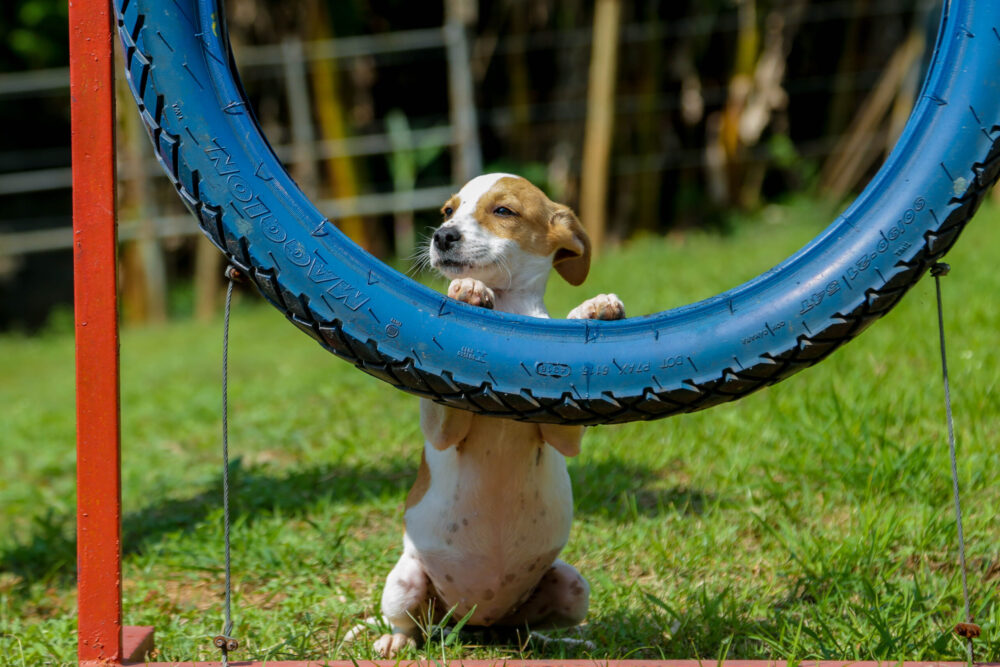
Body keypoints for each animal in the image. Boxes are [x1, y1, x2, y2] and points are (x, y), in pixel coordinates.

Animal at [362, 172, 624, 656]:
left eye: (504, 211)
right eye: (448, 211)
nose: (443, 236)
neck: (507, 310)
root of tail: (476, 622)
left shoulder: (564, 433)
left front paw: (594, 309)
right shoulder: (441, 430)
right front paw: (468, 292)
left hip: (571, 587)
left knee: (525, 629)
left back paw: (559, 642)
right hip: (406, 583)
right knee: (412, 626)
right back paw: (394, 643)